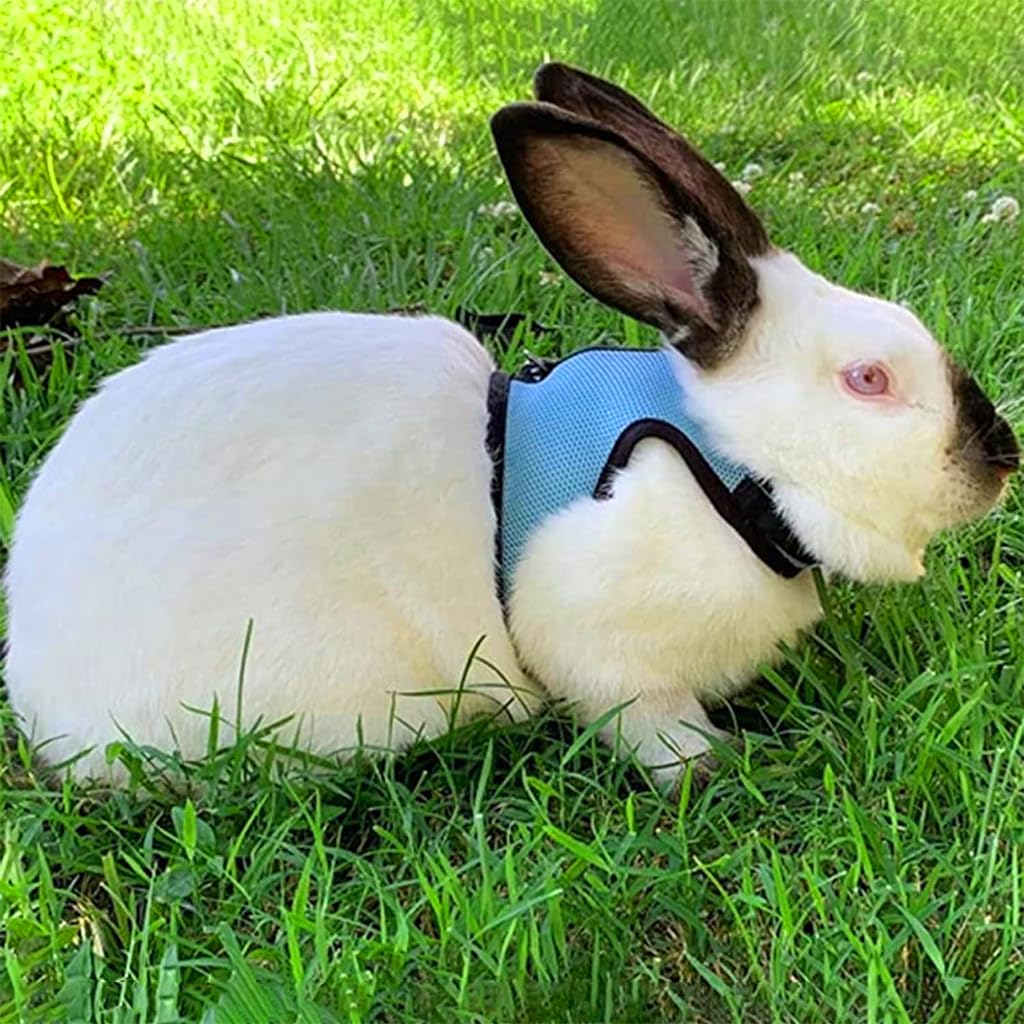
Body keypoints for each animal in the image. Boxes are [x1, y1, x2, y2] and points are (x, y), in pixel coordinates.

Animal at [4, 63, 1018, 786]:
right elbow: (649, 725)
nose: (1002, 456)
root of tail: (38, 677)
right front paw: (716, 766)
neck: (730, 469)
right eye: (868, 379)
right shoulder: (606, 649)